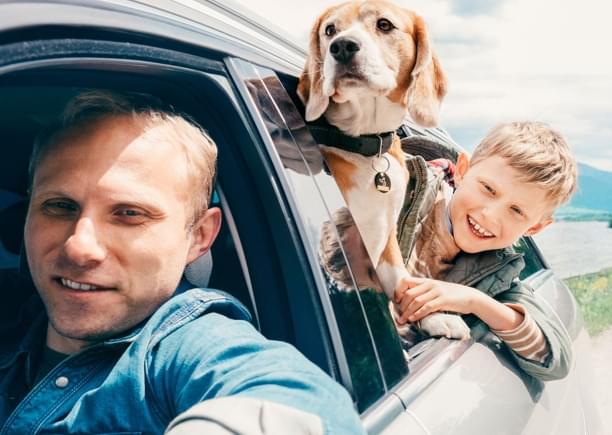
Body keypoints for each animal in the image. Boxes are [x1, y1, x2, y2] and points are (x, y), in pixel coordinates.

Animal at [300, 0, 468, 340]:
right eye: (330, 30)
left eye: (385, 25)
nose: (342, 47)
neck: (366, 144)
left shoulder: (384, 232)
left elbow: (400, 278)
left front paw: (433, 317)